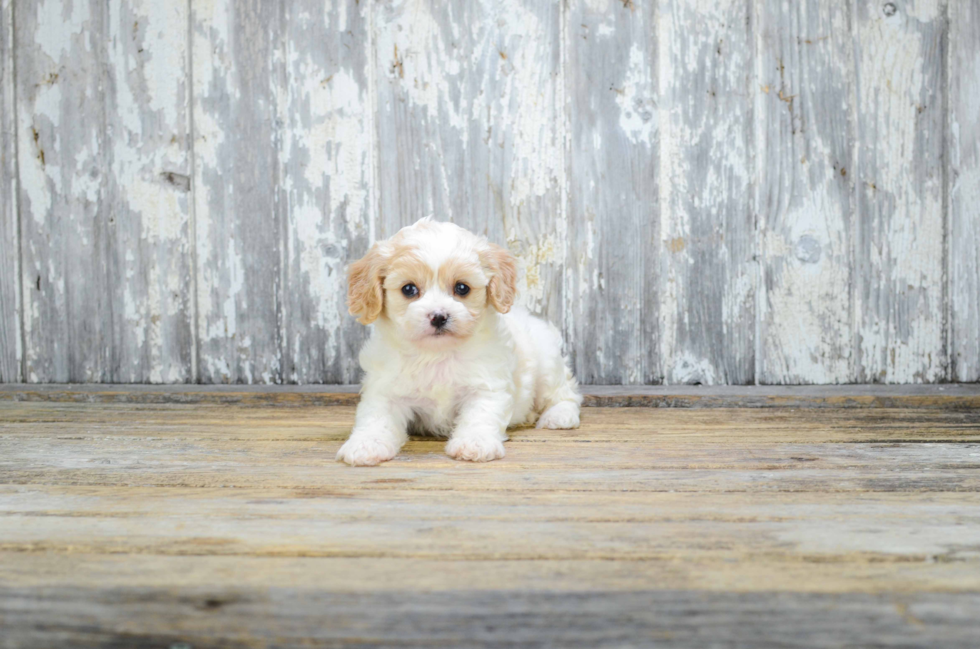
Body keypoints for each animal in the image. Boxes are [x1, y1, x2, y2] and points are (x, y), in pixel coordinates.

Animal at [336, 219, 580, 466]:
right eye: (409, 289)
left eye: (462, 288)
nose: (439, 316)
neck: (436, 353)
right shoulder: (385, 389)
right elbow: (376, 418)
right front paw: (366, 445)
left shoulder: (487, 385)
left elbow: (479, 415)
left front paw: (475, 444)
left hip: (547, 363)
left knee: (565, 393)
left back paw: (559, 415)